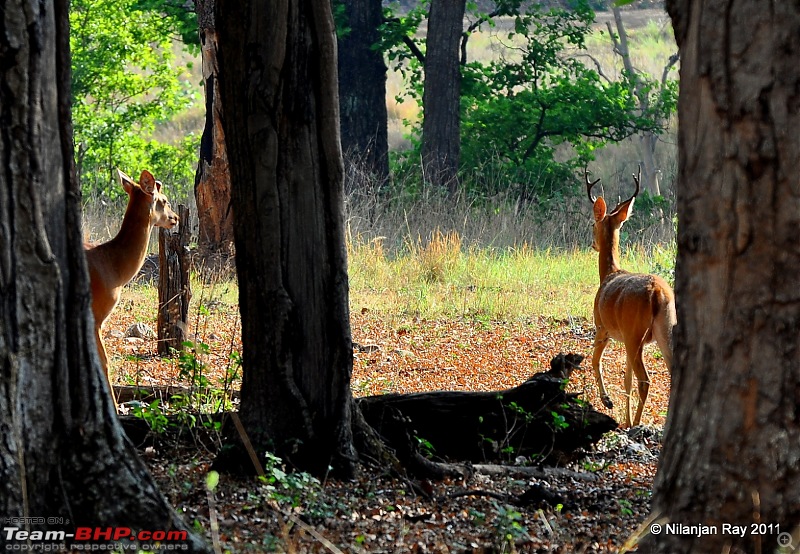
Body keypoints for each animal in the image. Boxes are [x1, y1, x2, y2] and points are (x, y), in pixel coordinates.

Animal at [588, 168, 676, 426]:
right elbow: (625, 380)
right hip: (664, 328)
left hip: (633, 332)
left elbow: (595, 361)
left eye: (592, 224)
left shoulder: (602, 327)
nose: (593, 244)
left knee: (644, 379)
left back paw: (636, 423)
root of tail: (657, 293)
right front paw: (624, 419)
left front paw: (608, 401)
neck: (608, 274)